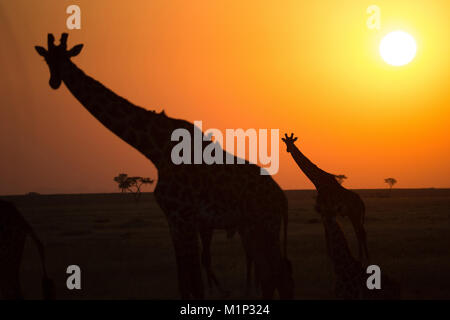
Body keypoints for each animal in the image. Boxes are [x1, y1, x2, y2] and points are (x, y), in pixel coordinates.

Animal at [36, 33, 296, 298]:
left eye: (64, 58)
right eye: (46, 59)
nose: (54, 81)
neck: (156, 150)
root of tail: (281, 199)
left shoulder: (185, 217)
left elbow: (195, 284)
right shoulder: (173, 220)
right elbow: (184, 283)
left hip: (265, 224)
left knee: (280, 273)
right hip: (253, 228)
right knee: (271, 275)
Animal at [282, 134, 370, 262]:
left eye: (292, 142)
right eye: (285, 142)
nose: (288, 150)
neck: (318, 182)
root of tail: (362, 203)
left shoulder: (324, 210)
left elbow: (327, 233)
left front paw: (331, 256)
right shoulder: (325, 212)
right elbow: (327, 233)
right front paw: (331, 256)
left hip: (355, 214)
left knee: (360, 233)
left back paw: (361, 257)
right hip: (355, 215)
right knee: (361, 232)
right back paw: (365, 257)